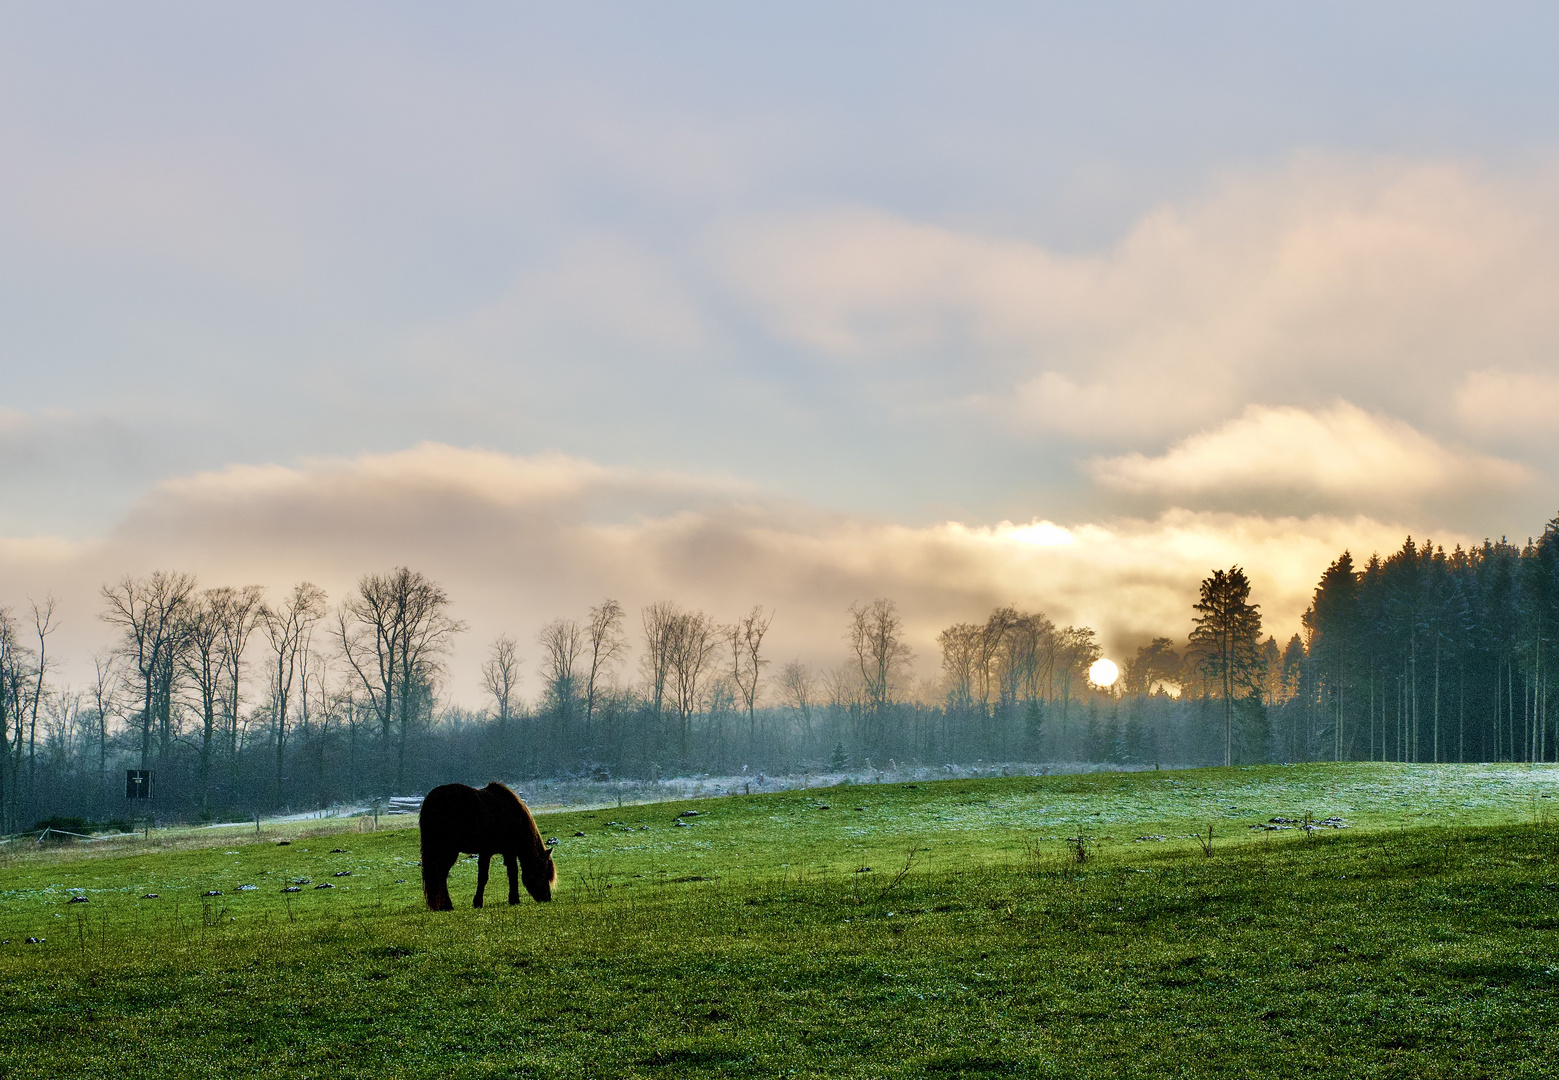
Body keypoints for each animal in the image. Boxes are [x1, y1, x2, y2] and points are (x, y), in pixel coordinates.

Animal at [420, 779, 555, 903]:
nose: (547, 897)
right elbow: (497, 874)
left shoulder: (502, 853)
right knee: (440, 873)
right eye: (544, 871)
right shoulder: (496, 852)